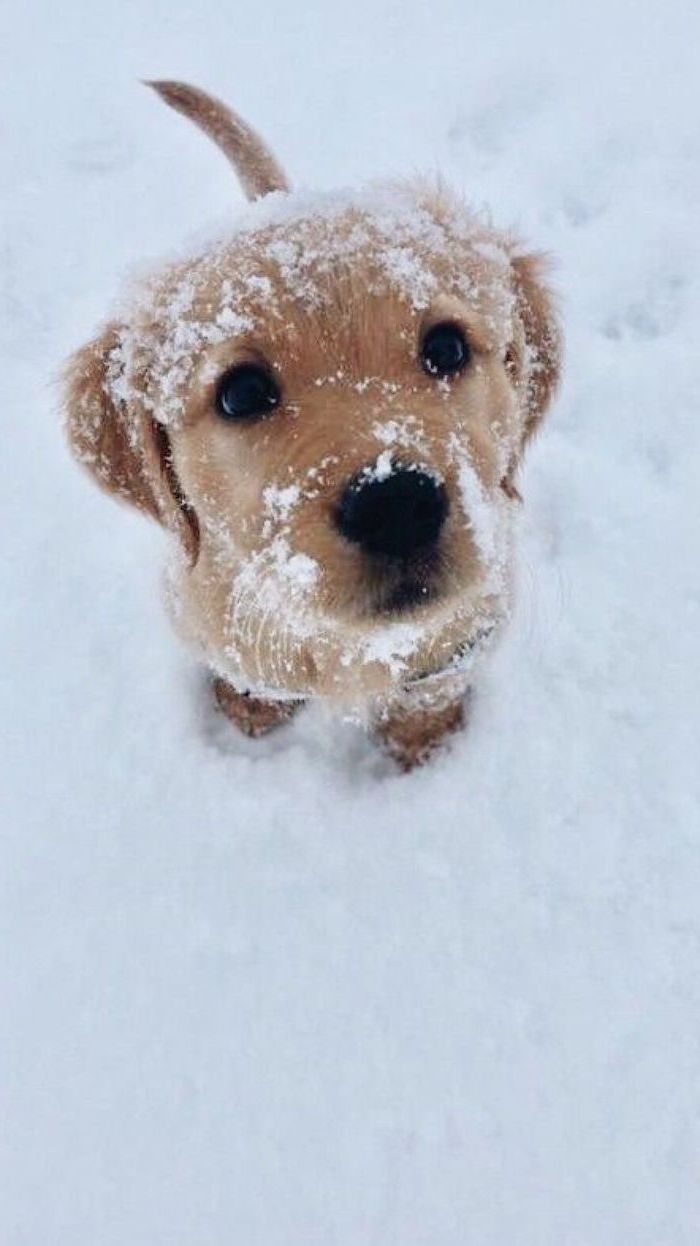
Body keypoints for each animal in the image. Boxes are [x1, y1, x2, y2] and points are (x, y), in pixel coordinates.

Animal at [62, 80, 558, 767]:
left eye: (448, 347)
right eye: (241, 393)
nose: (395, 505)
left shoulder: (468, 629)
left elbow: (429, 685)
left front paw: (422, 743)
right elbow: (249, 672)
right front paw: (250, 708)